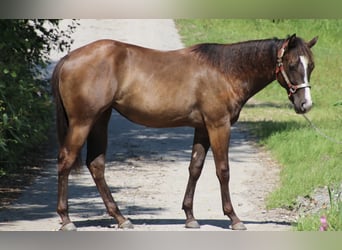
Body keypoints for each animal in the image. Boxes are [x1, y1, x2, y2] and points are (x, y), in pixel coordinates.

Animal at [51, 33, 318, 230]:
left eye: (311, 66)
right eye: (292, 64)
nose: (305, 105)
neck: (225, 70)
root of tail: (68, 58)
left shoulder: (201, 128)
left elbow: (195, 168)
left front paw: (190, 217)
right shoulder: (218, 125)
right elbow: (223, 170)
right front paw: (234, 218)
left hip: (99, 120)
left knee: (96, 165)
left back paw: (121, 218)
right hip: (83, 122)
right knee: (66, 161)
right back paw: (66, 219)